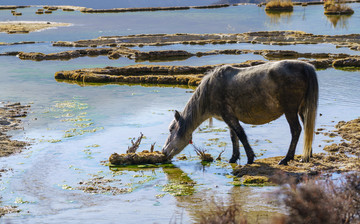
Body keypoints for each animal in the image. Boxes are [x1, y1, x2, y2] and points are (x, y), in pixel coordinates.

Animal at [162, 59, 318, 164]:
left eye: (171, 130)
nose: (163, 151)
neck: (210, 90)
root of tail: (305, 66)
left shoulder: (229, 116)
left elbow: (241, 135)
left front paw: (250, 158)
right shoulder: (230, 118)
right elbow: (234, 137)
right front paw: (233, 158)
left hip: (290, 111)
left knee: (296, 130)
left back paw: (286, 159)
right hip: (302, 109)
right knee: (307, 128)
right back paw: (307, 156)